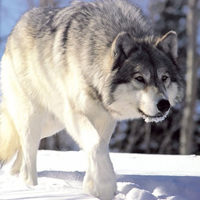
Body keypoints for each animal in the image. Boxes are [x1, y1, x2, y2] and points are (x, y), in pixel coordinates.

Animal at [0, 0, 184, 199]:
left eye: (164, 78)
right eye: (140, 78)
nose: (164, 105)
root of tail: (16, 28)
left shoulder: (106, 118)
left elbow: (98, 146)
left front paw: (91, 185)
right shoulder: (74, 114)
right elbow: (97, 144)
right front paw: (104, 185)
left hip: (52, 125)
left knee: (22, 150)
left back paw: (14, 176)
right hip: (35, 118)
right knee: (28, 158)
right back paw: (31, 187)